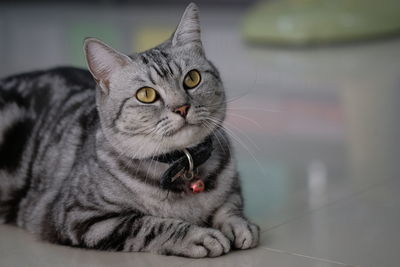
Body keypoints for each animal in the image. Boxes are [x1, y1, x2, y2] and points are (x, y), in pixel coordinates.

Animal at [0, 2, 260, 258]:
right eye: (146, 95)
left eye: (192, 79)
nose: (182, 107)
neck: (183, 165)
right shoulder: (81, 217)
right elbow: (151, 224)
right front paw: (199, 235)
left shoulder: (232, 189)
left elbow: (230, 205)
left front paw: (240, 225)